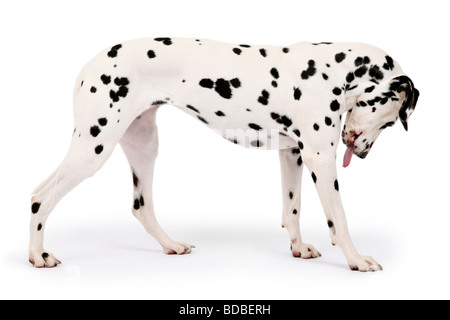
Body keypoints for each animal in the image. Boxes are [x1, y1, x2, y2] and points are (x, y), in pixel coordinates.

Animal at [29, 38, 420, 272]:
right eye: (389, 122)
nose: (363, 152)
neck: (334, 72)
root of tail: (90, 65)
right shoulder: (320, 159)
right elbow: (339, 218)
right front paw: (357, 259)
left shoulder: (292, 155)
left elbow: (292, 211)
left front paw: (298, 248)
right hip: (93, 149)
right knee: (40, 198)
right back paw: (38, 256)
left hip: (143, 146)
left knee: (141, 206)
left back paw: (171, 245)